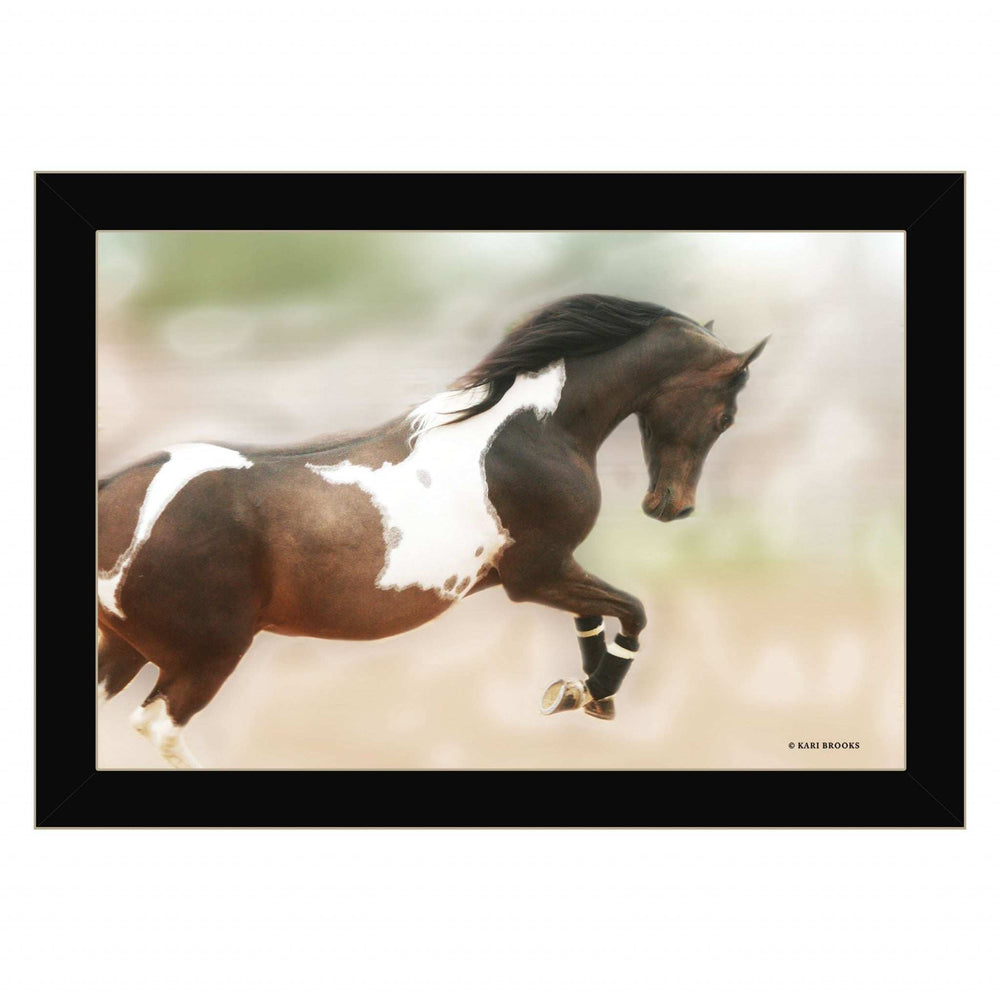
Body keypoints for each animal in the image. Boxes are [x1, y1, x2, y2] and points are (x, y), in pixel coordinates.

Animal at [97, 293, 767, 768]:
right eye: (725, 417)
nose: (672, 508)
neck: (530, 432)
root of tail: (114, 496)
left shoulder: (550, 572)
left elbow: (598, 615)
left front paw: (584, 694)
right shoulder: (537, 574)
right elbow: (633, 612)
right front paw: (593, 690)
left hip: (124, 648)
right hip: (207, 653)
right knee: (160, 727)